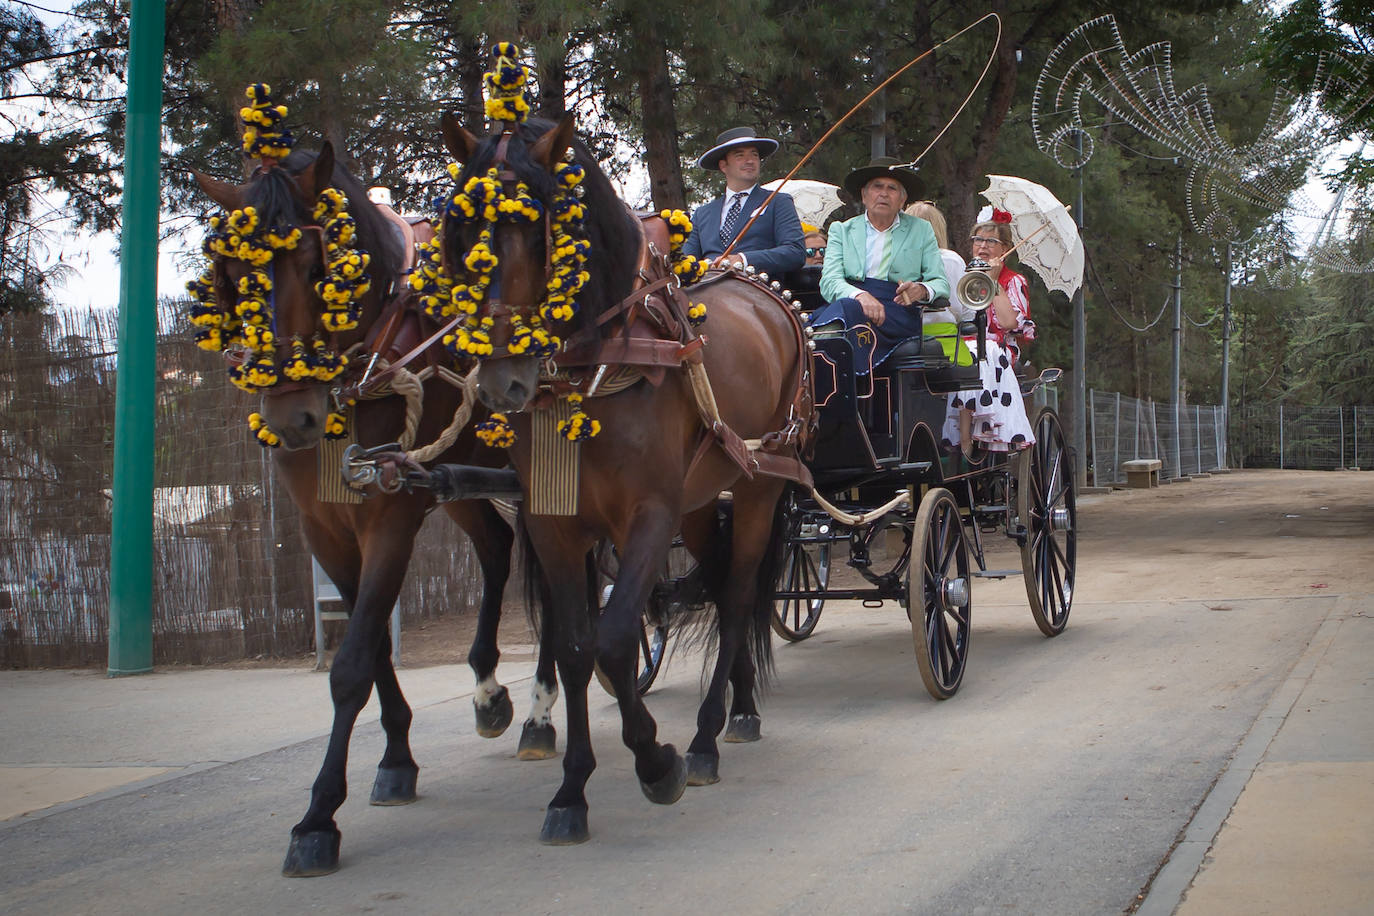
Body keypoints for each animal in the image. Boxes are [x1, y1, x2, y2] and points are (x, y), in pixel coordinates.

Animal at [190, 146, 560, 878]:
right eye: (234, 274)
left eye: (320, 267)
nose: (293, 417)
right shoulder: (324, 526)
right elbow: (371, 644)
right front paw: (395, 760)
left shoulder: (389, 516)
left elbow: (353, 662)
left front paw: (317, 818)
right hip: (460, 481)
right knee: (497, 551)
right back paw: (490, 692)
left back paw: (537, 711)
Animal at [434, 114, 807, 845]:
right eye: (460, 231)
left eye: (540, 228)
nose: (501, 380)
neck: (599, 367)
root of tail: (761, 292)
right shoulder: (554, 525)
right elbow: (576, 647)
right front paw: (571, 791)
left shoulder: (650, 515)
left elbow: (611, 641)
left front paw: (657, 762)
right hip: (702, 501)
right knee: (720, 584)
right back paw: (740, 710)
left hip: (757, 485)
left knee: (739, 594)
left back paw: (706, 739)